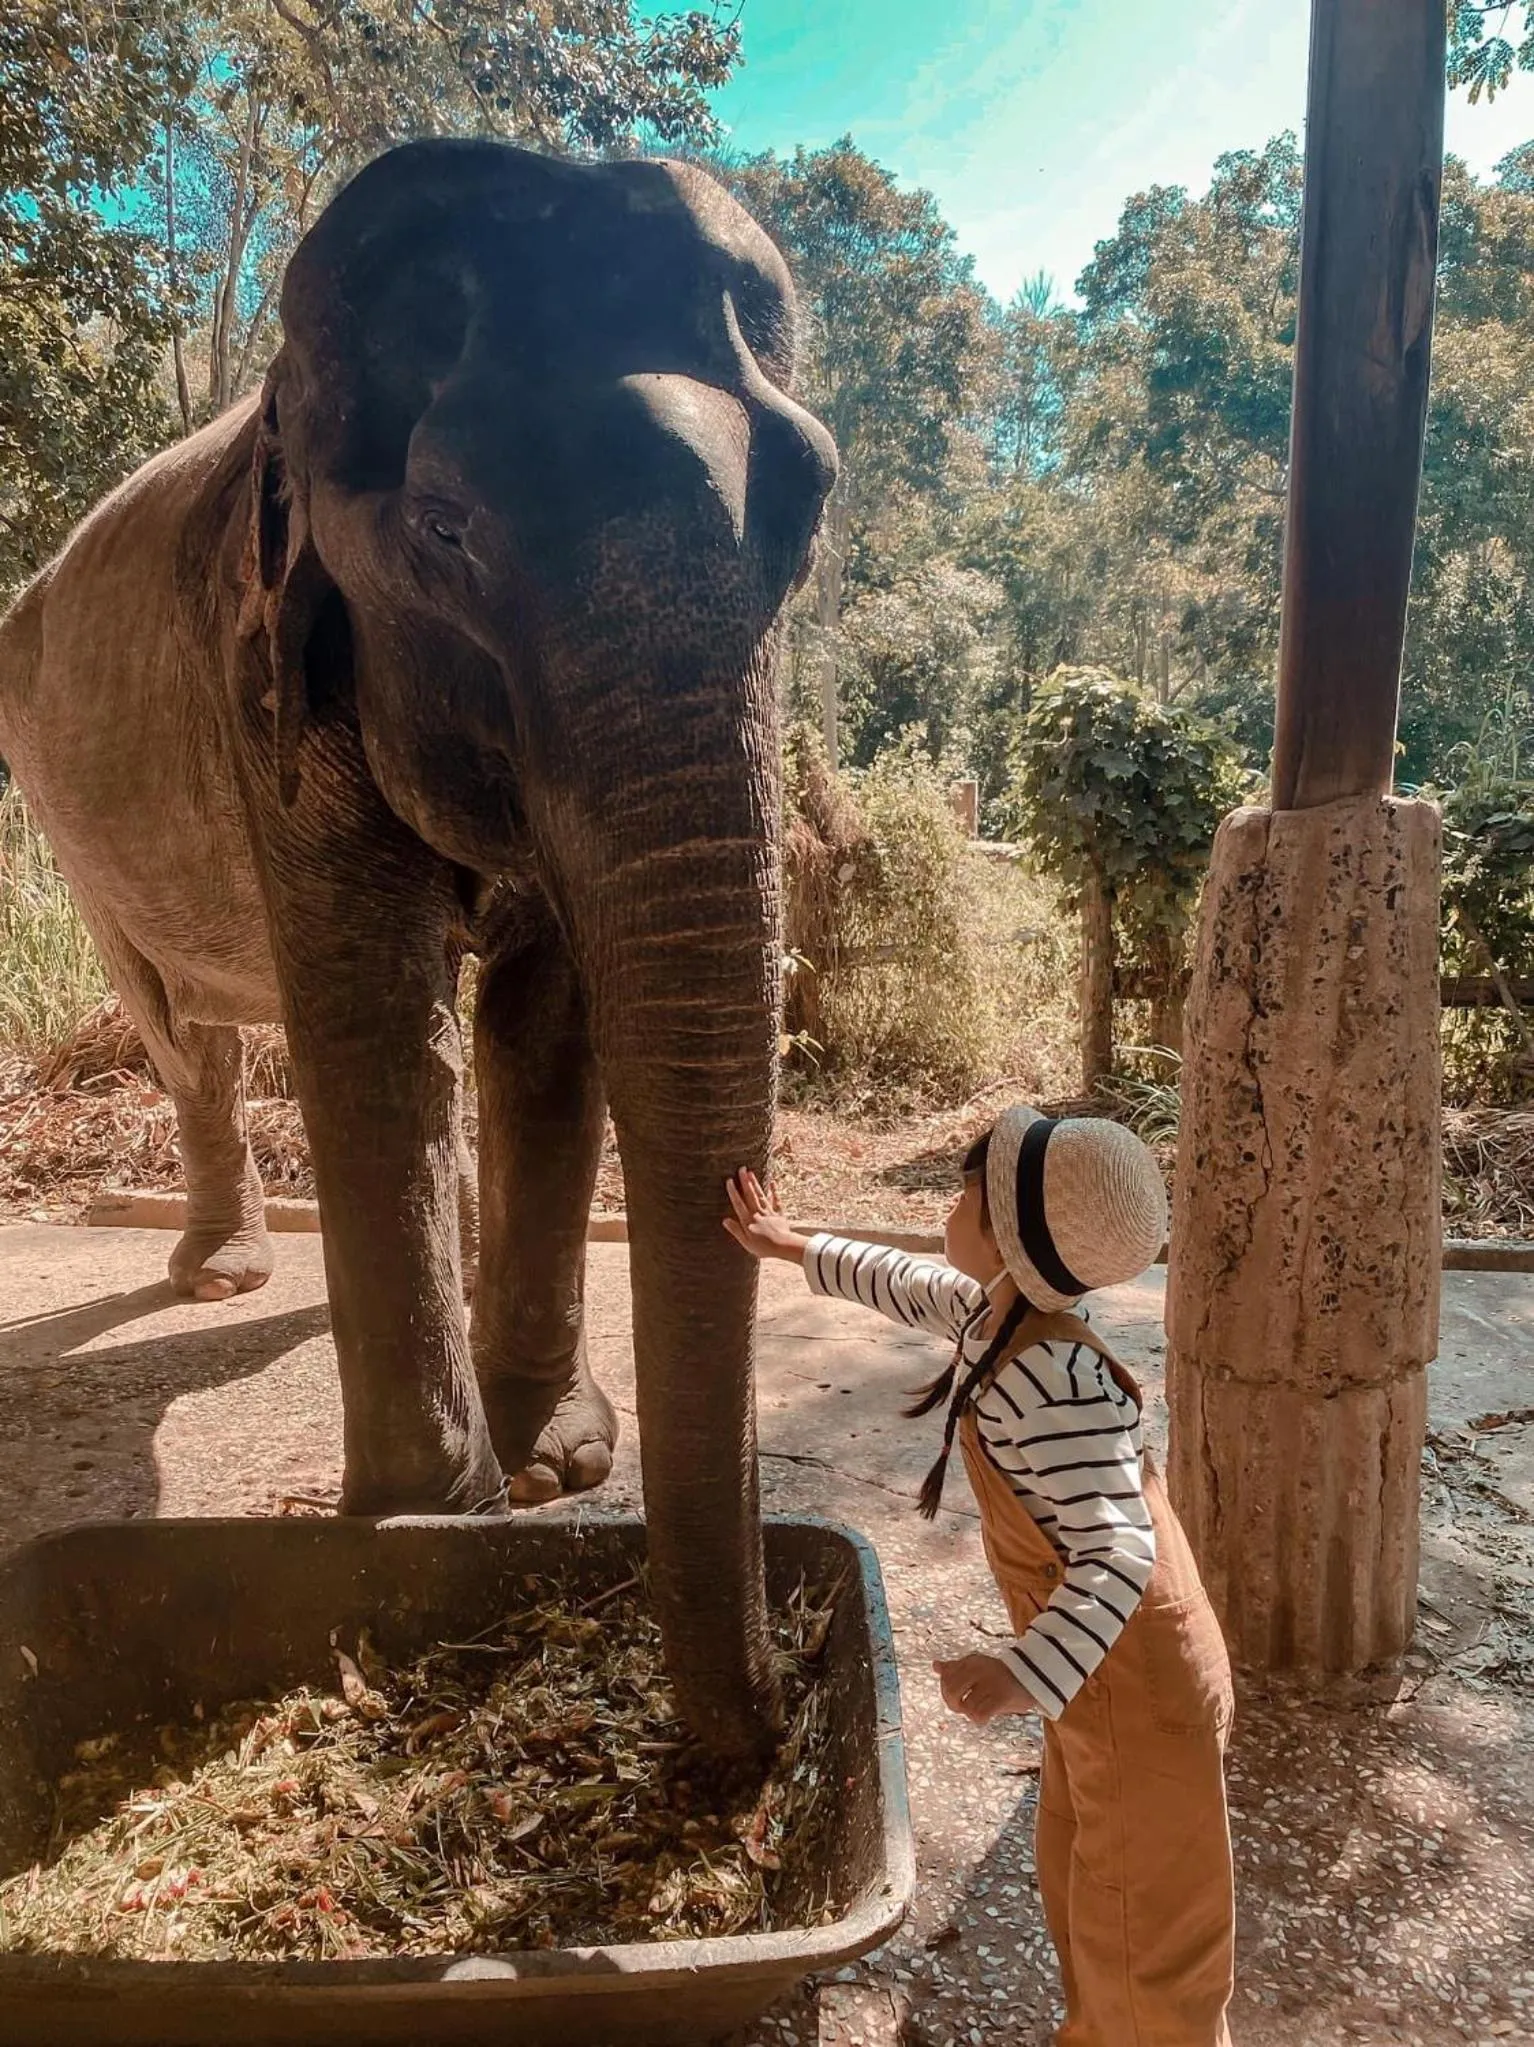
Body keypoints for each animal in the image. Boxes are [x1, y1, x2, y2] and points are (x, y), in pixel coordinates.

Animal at [0, 138, 837, 1757]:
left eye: (815, 506)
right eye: (445, 529)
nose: (758, 1743)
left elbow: (547, 1029)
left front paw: (557, 1466)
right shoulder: (265, 676)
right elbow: (376, 1024)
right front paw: (435, 1522)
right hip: (61, 807)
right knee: (184, 1027)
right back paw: (222, 1275)